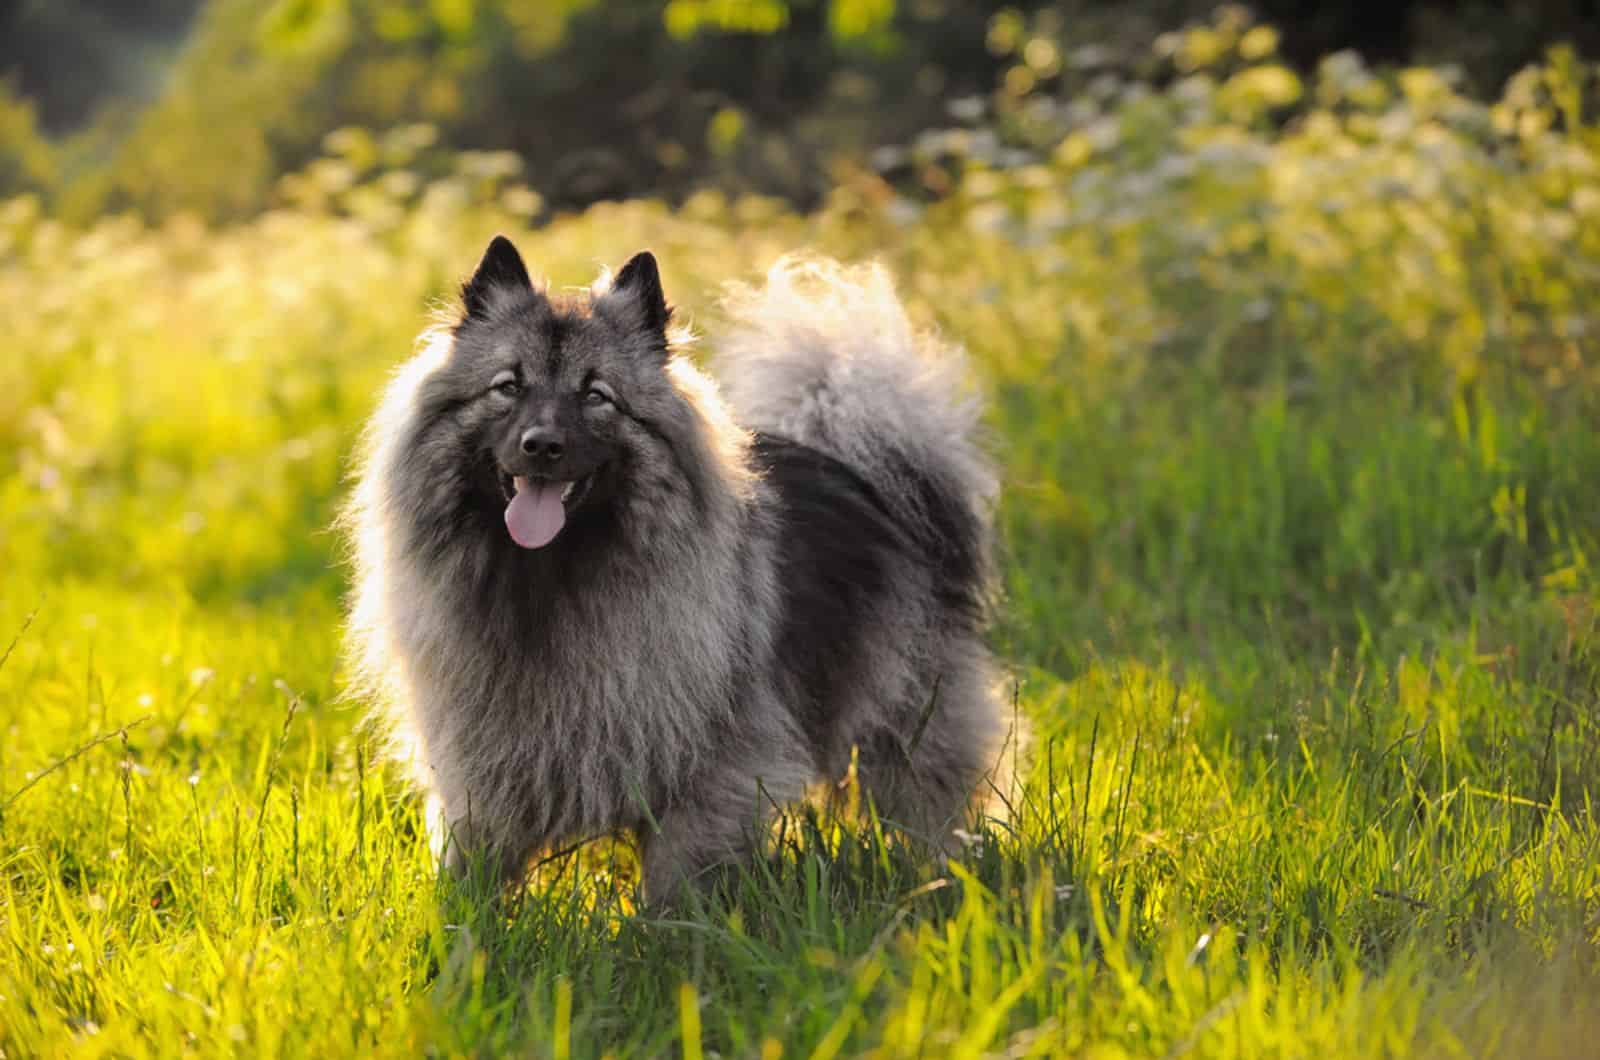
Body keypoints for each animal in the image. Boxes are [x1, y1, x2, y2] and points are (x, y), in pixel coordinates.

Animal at [344, 235, 1004, 903]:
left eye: (596, 395)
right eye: (508, 386)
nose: (542, 445)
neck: (551, 580)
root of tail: (864, 472)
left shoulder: (712, 769)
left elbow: (675, 879)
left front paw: (666, 927)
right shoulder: (482, 765)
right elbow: (474, 860)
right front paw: (464, 921)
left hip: (905, 714)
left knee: (927, 800)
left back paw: (938, 877)